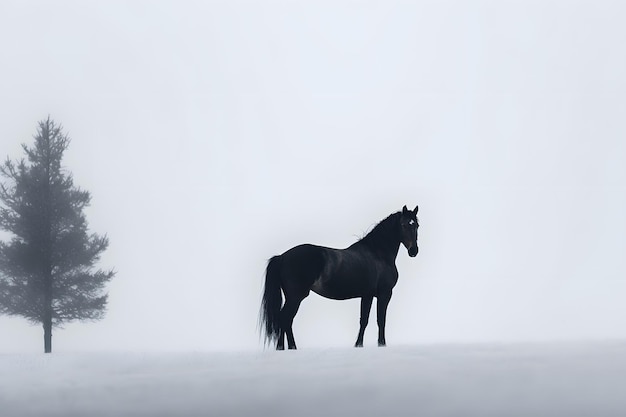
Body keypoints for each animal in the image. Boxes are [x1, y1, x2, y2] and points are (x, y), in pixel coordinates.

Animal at [258, 205, 420, 348]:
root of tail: (282, 257)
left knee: (284, 320)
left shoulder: (367, 295)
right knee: (285, 319)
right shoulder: (384, 294)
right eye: (404, 224)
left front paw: (358, 345)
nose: (414, 251)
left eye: (417, 225)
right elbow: (381, 320)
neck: (378, 254)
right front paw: (382, 345)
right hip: (295, 297)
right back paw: (289, 348)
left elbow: (364, 320)